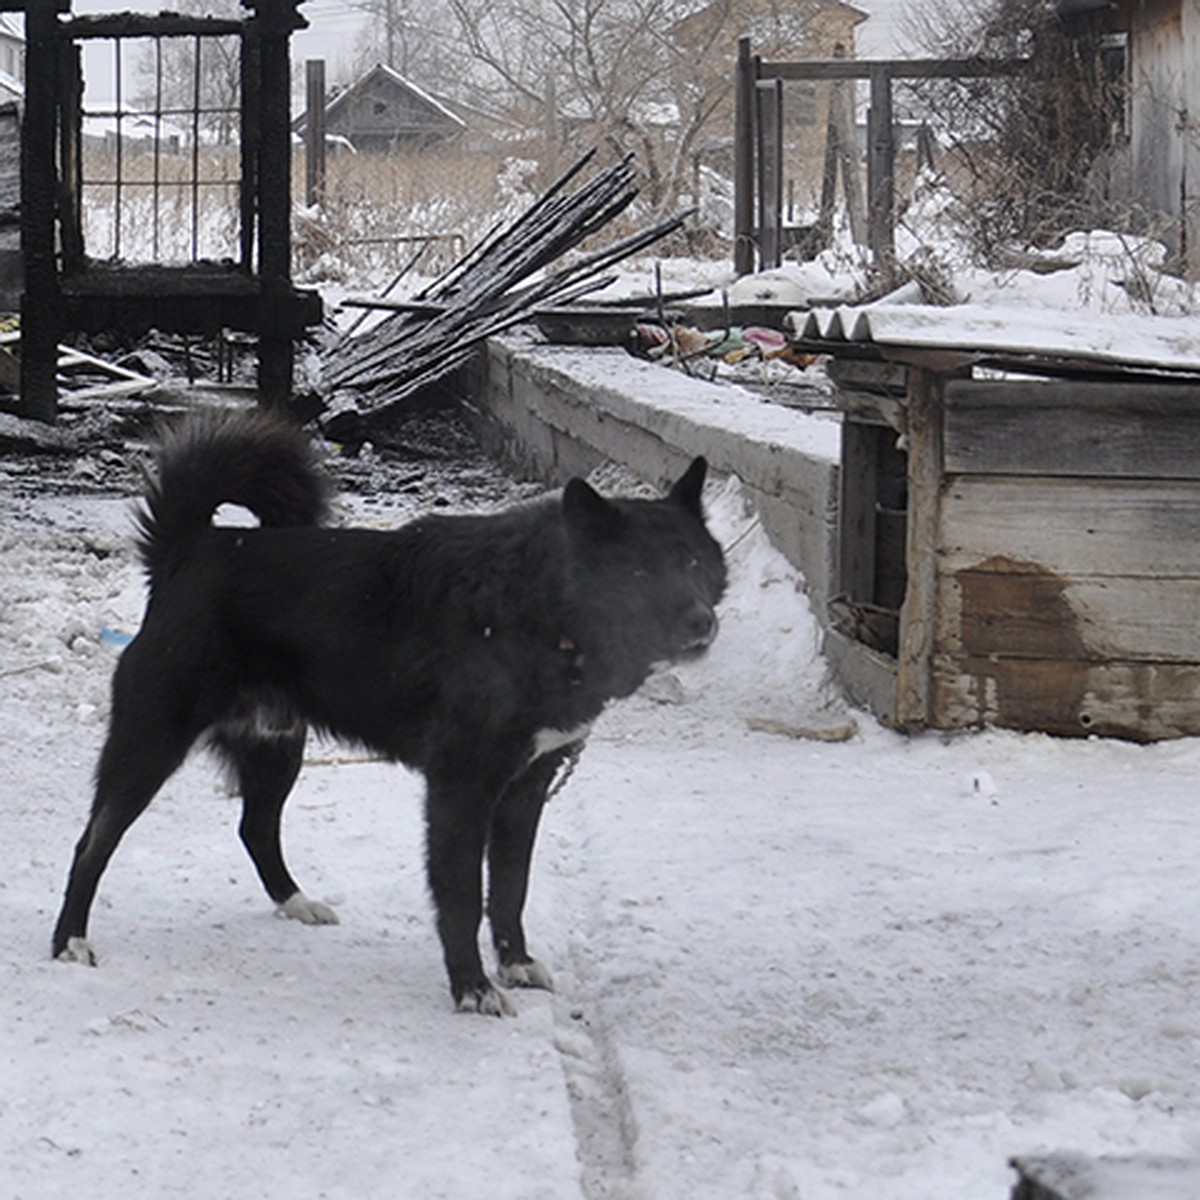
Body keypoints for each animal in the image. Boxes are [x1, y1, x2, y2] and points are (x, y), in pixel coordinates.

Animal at [54, 412, 729, 1012]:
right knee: (93, 841)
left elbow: (510, 888)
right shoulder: (461, 787)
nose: (702, 622)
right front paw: (472, 989)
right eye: (636, 571)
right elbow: (463, 895)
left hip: (278, 746)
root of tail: (192, 549)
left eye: (692, 562)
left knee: (256, 828)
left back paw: (295, 902)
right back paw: (70, 943)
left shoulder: (525, 789)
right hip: (151, 744)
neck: (539, 608)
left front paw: (514, 964)